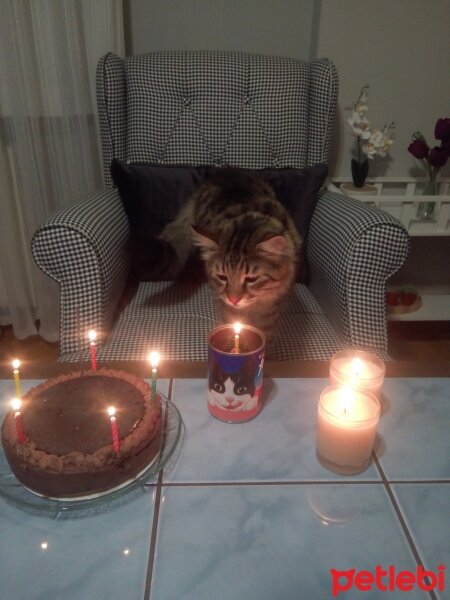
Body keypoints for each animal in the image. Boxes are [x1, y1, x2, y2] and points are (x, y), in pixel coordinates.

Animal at [159, 169, 302, 342]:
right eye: (222, 276)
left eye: (251, 279)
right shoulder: (227, 307)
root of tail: (224, 172)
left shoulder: (271, 310)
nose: (234, 300)